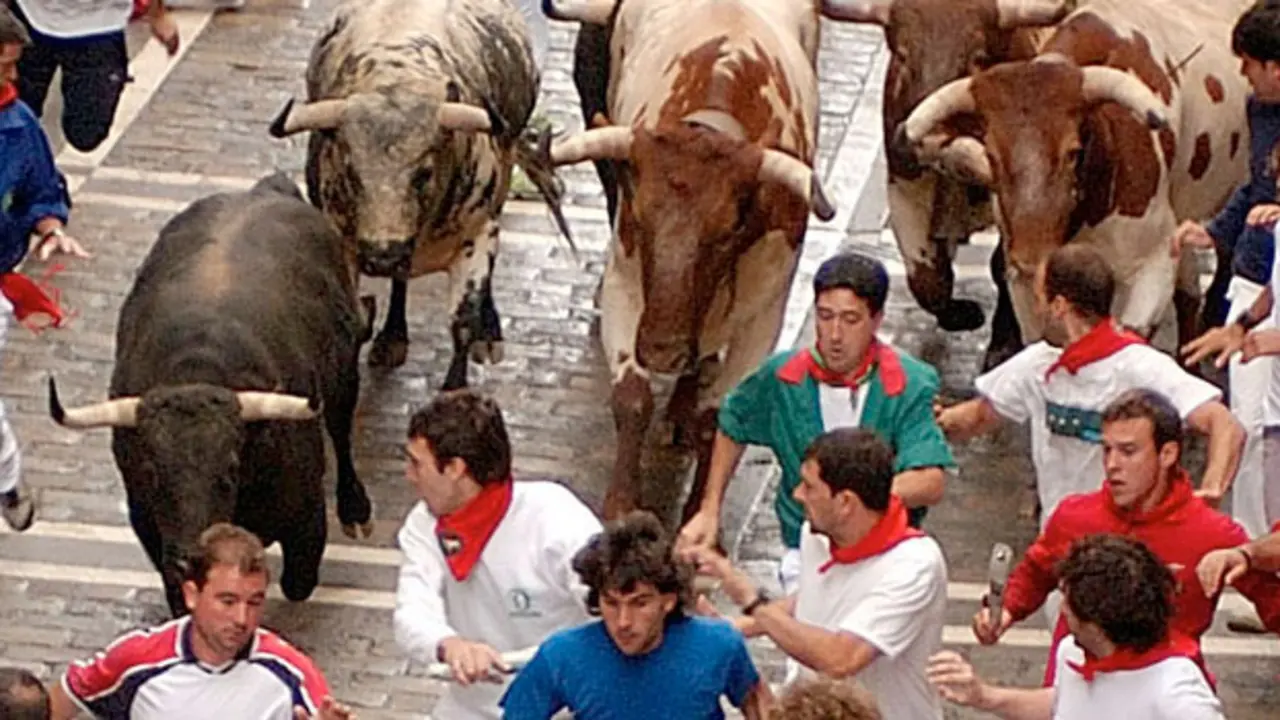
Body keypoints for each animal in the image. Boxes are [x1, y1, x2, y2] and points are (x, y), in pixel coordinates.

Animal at [46, 175, 373, 617]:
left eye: (230, 470)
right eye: (151, 472)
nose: (189, 557)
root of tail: (265, 190)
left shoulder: (306, 516)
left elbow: (297, 582)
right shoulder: (149, 528)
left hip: (345, 377)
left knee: (341, 428)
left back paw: (356, 508)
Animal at [270, 0, 570, 386]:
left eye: (424, 172)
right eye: (351, 171)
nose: (382, 255)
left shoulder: (477, 234)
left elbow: (462, 322)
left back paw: (489, 332)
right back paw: (393, 336)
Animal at [545, 0, 834, 517]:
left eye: (729, 230)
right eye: (639, 214)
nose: (664, 349)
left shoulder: (764, 316)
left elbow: (715, 418)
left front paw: (699, 513)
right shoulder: (625, 285)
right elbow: (632, 396)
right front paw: (622, 504)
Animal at [819, 0, 1080, 368]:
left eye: (977, 57)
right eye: (902, 54)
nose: (919, 140)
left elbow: (1005, 267)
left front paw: (1003, 345)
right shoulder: (905, 184)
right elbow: (926, 278)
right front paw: (957, 314)